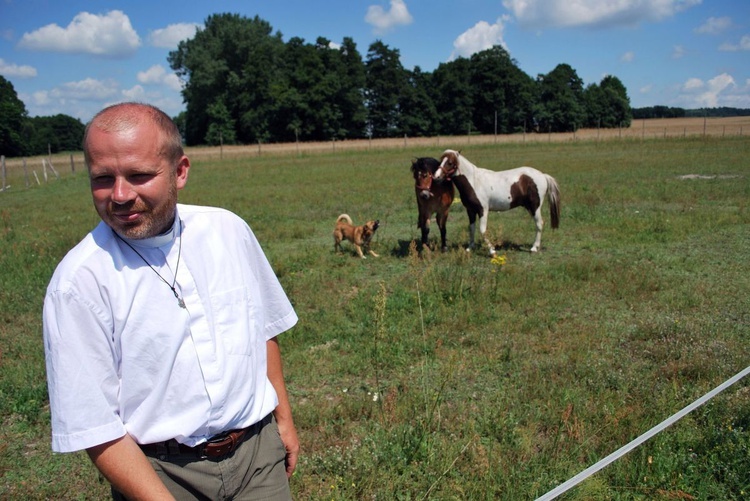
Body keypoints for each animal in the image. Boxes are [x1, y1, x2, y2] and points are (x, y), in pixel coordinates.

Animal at [432, 147, 560, 250]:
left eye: (449, 162)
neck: (474, 182)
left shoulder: (483, 210)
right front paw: (470, 247)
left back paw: (534, 248)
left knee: (539, 223)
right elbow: (472, 228)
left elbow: (482, 230)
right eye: (440, 161)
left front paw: (492, 250)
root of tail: (543, 175)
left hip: (534, 207)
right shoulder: (471, 210)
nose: (436, 177)